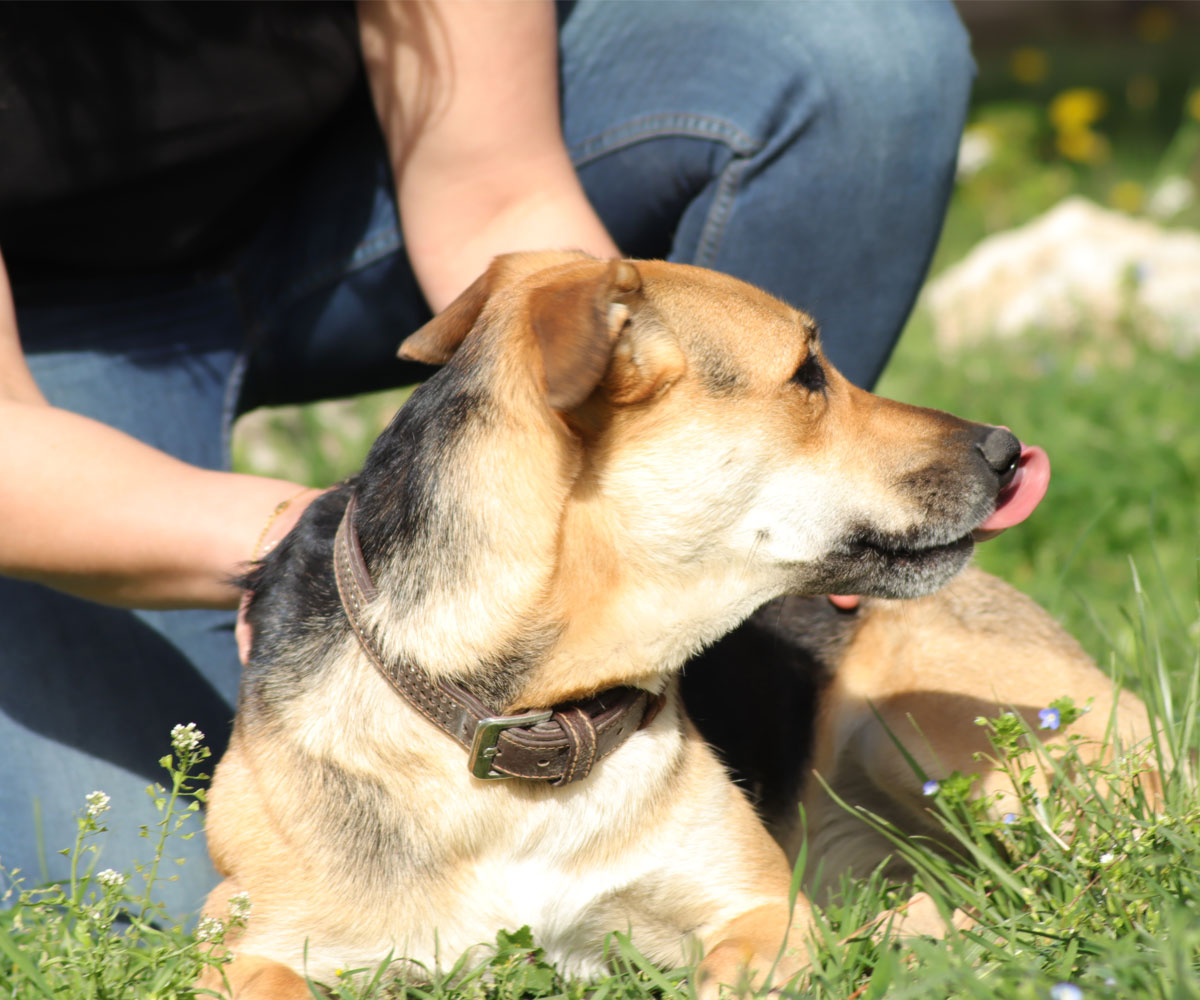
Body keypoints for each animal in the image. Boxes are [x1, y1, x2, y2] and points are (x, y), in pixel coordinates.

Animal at [199, 253, 1152, 993]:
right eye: (808, 374)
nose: (1008, 450)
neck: (525, 718)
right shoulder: (236, 938)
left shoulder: (759, 905)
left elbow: (733, 972)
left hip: (938, 731)